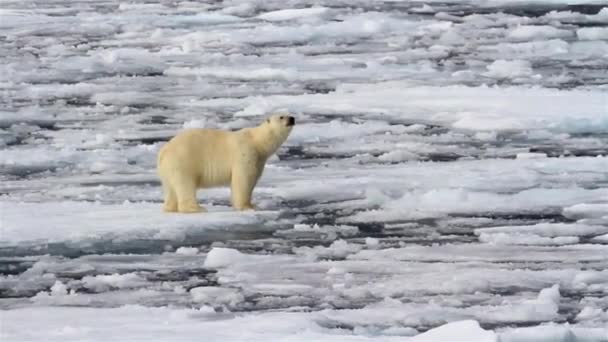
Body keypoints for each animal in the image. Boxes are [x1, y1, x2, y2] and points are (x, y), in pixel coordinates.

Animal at [157, 113, 294, 212]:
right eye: (281, 116)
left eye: (289, 113)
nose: (292, 118)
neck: (257, 142)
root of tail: (163, 151)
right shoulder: (245, 153)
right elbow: (243, 179)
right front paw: (247, 207)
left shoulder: (259, 159)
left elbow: (252, 178)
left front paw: (253, 205)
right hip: (183, 161)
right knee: (185, 184)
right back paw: (197, 208)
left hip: (168, 168)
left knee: (170, 187)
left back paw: (170, 207)